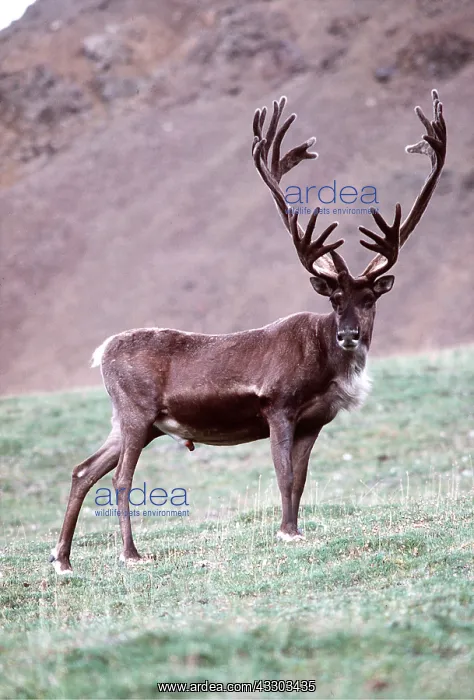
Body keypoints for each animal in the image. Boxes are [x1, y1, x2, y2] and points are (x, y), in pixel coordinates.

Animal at [50, 90, 446, 574]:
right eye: (334, 299)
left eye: (371, 298)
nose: (349, 335)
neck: (325, 364)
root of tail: (101, 351)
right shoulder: (278, 407)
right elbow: (283, 474)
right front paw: (286, 531)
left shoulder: (315, 421)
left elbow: (301, 478)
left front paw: (294, 527)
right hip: (135, 414)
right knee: (122, 478)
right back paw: (130, 553)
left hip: (134, 423)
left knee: (83, 469)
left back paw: (62, 559)